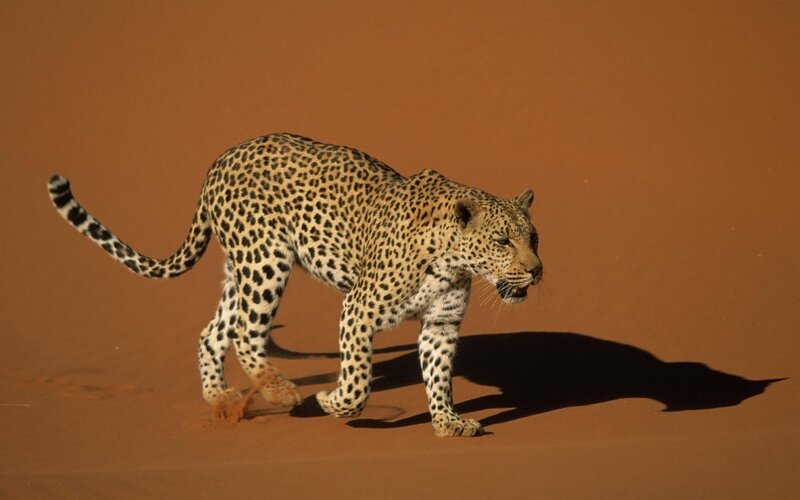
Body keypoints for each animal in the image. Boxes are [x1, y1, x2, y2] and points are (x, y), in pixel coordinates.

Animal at [47, 133, 543, 437]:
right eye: (503, 240)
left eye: (533, 238)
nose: (537, 270)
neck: (452, 259)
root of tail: (220, 160)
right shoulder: (358, 309)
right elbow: (359, 380)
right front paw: (333, 402)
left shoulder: (441, 324)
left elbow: (439, 377)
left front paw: (447, 422)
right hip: (266, 261)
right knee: (246, 333)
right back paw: (280, 391)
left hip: (241, 271)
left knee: (213, 333)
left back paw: (221, 398)